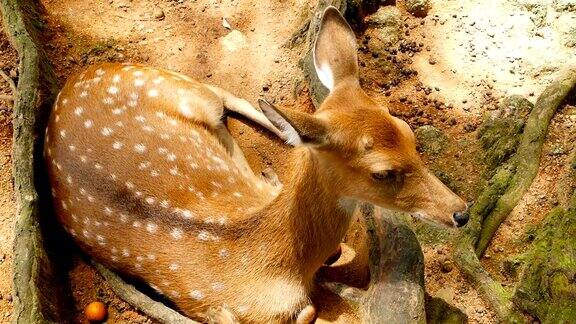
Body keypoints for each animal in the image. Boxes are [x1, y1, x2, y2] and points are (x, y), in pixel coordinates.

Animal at [45, 5, 468, 324]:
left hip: (172, 83)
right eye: (383, 172)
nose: (461, 213)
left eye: (409, 133)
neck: (279, 263)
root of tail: (72, 80)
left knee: (230, 97)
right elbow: (306, 309)